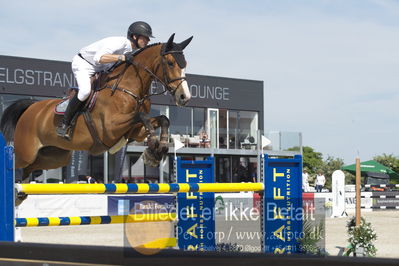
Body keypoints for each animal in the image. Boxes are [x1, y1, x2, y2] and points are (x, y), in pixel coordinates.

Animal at [0, 32, 194, 183]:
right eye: (170, 63)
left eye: (185, 64)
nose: (184, 97)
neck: (128, 87)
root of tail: (30, 109)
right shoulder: (110, 128)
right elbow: (141, 116)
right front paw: (153, 148)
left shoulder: (133, 132)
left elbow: (162, 119)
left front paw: (159, 149)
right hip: (26, 153)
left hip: (52, 157)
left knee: (28, 170)